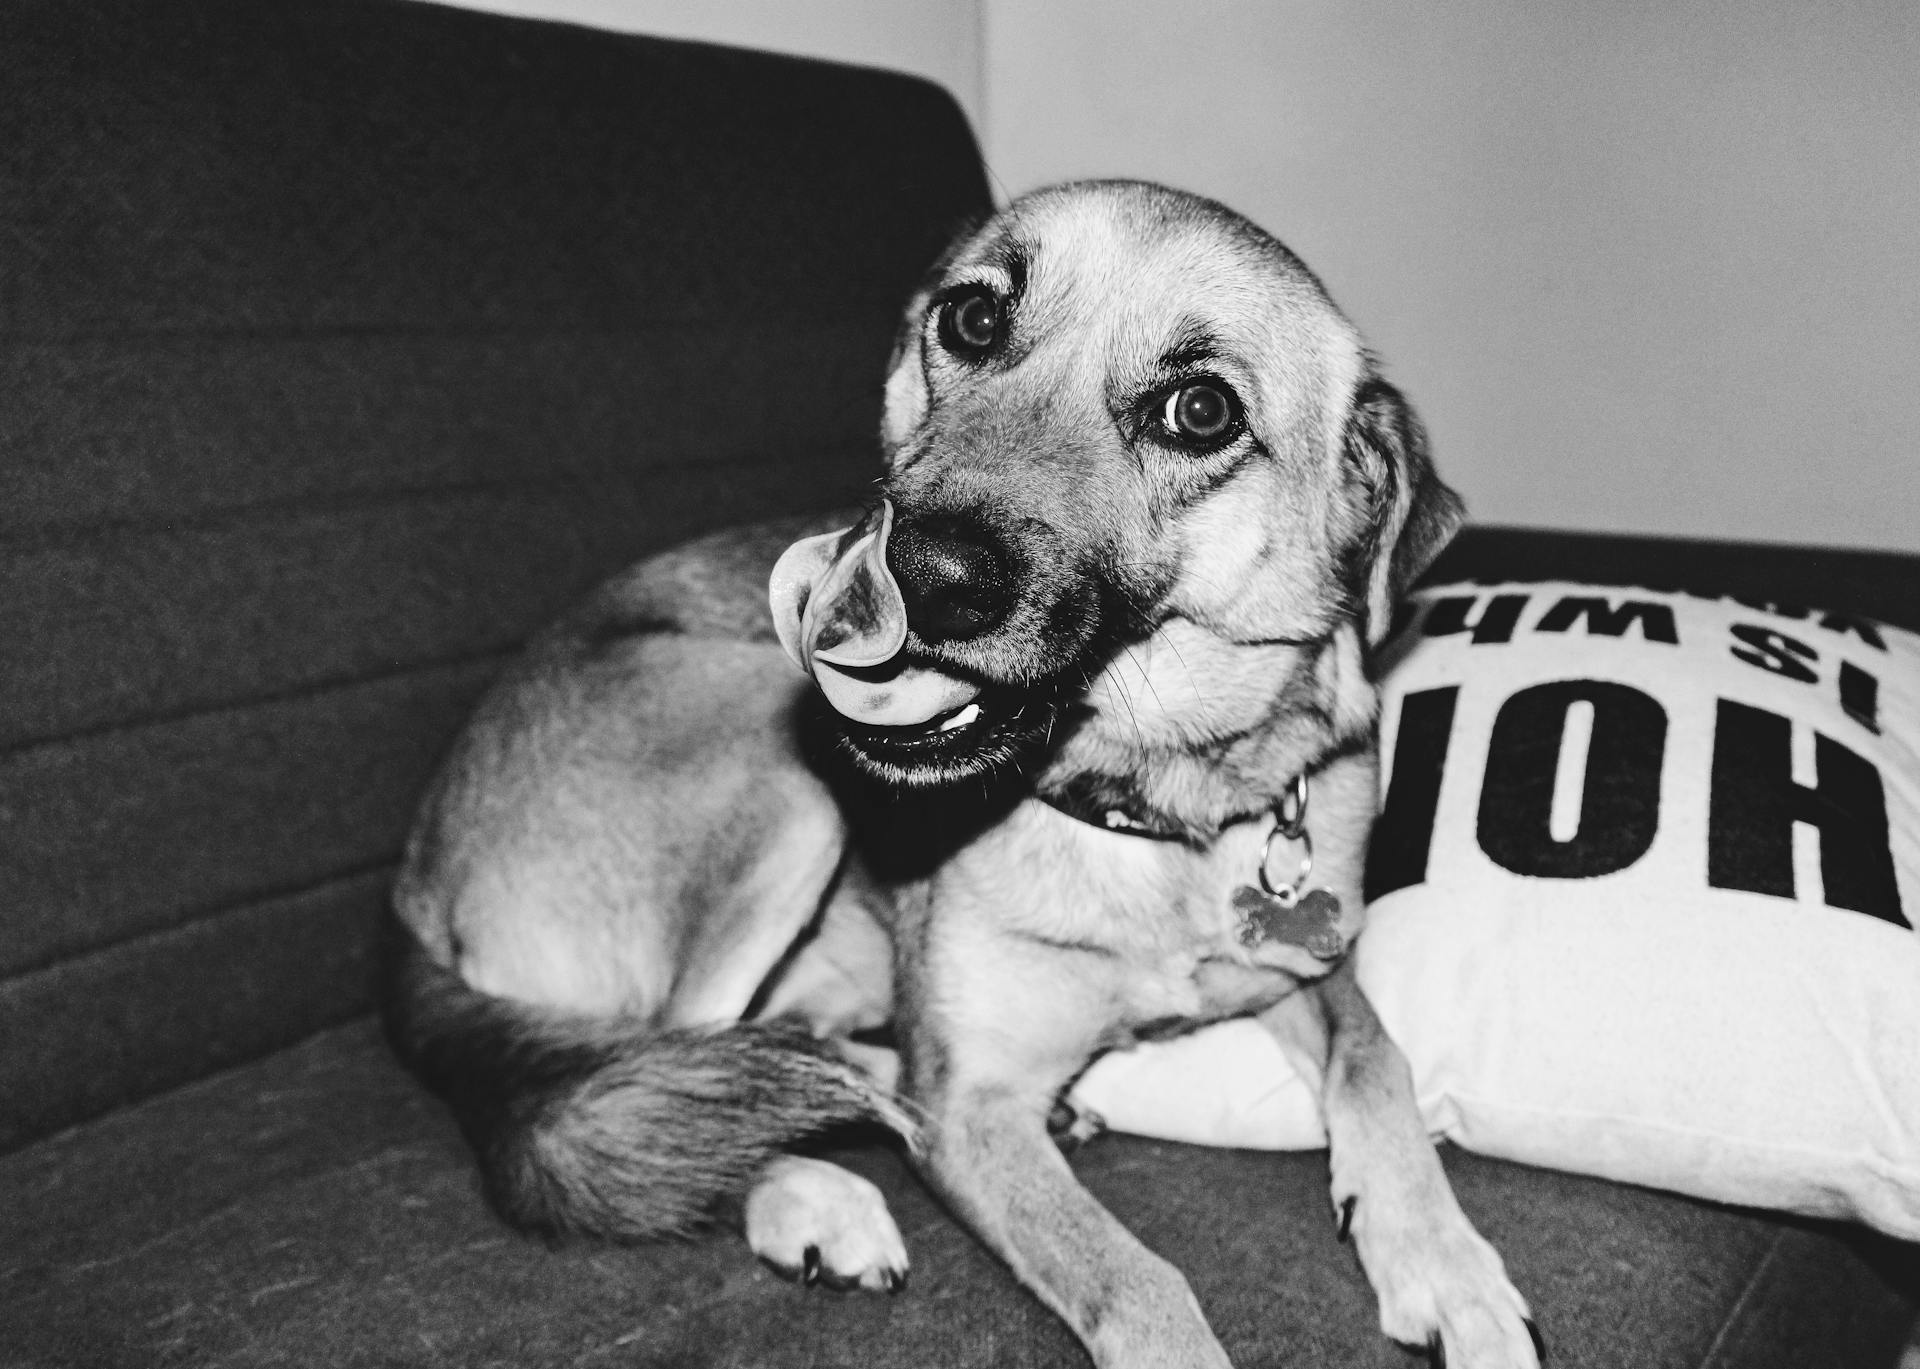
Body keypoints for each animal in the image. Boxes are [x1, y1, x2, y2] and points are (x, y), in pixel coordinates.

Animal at [389, 181, 1543, 1367]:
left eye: (1201, 411)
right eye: (975, 319)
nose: (923, 573)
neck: (1140, 806)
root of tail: (414, 889)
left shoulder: (1309, 969)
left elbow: (1377, 1060)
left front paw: (1445, 1264)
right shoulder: (975, 1111)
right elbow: (1143, 1285)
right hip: (775, 771)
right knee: (655, 1071)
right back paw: (813, 1188)